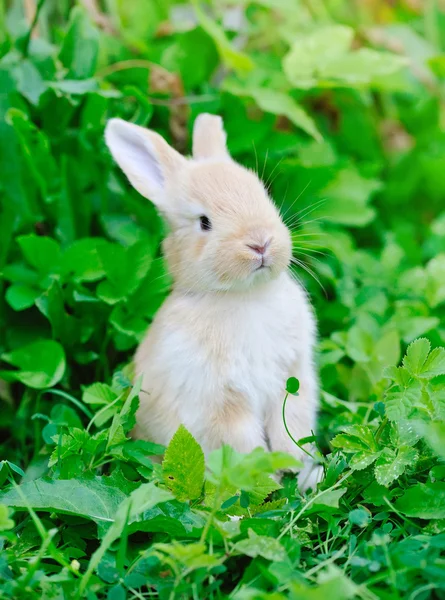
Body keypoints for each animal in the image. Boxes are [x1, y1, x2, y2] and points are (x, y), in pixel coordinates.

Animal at [106, 113, 320, 492]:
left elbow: (291, 424)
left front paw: (295, 466)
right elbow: (244, 445)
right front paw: (269, 481)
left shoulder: (293, 377)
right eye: (204, 222)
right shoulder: (221, 403)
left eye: (262, 195)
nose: (260, 243)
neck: (244, 295)